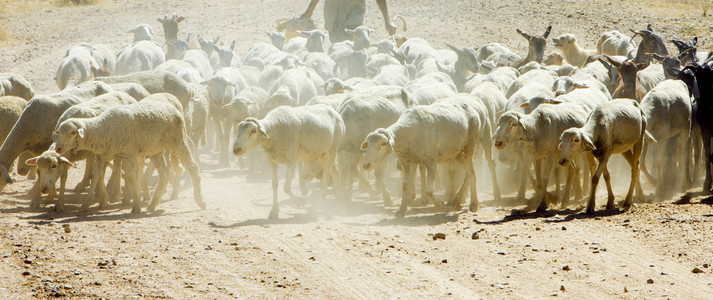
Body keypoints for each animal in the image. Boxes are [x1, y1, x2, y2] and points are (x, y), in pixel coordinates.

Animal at [51, 94, 203, 213]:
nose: (58, 148)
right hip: (155, 149)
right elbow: (95, 177)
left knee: (192, 167)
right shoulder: (103, 156)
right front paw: (86, 204)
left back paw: (200, 201)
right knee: (165, 173)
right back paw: (153, 204)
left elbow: (130, 177)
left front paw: (135, 204)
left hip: (178, 141)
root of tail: (173, 105)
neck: (103, 129)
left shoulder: (129, 155)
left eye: (72, 133)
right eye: (59, 132)